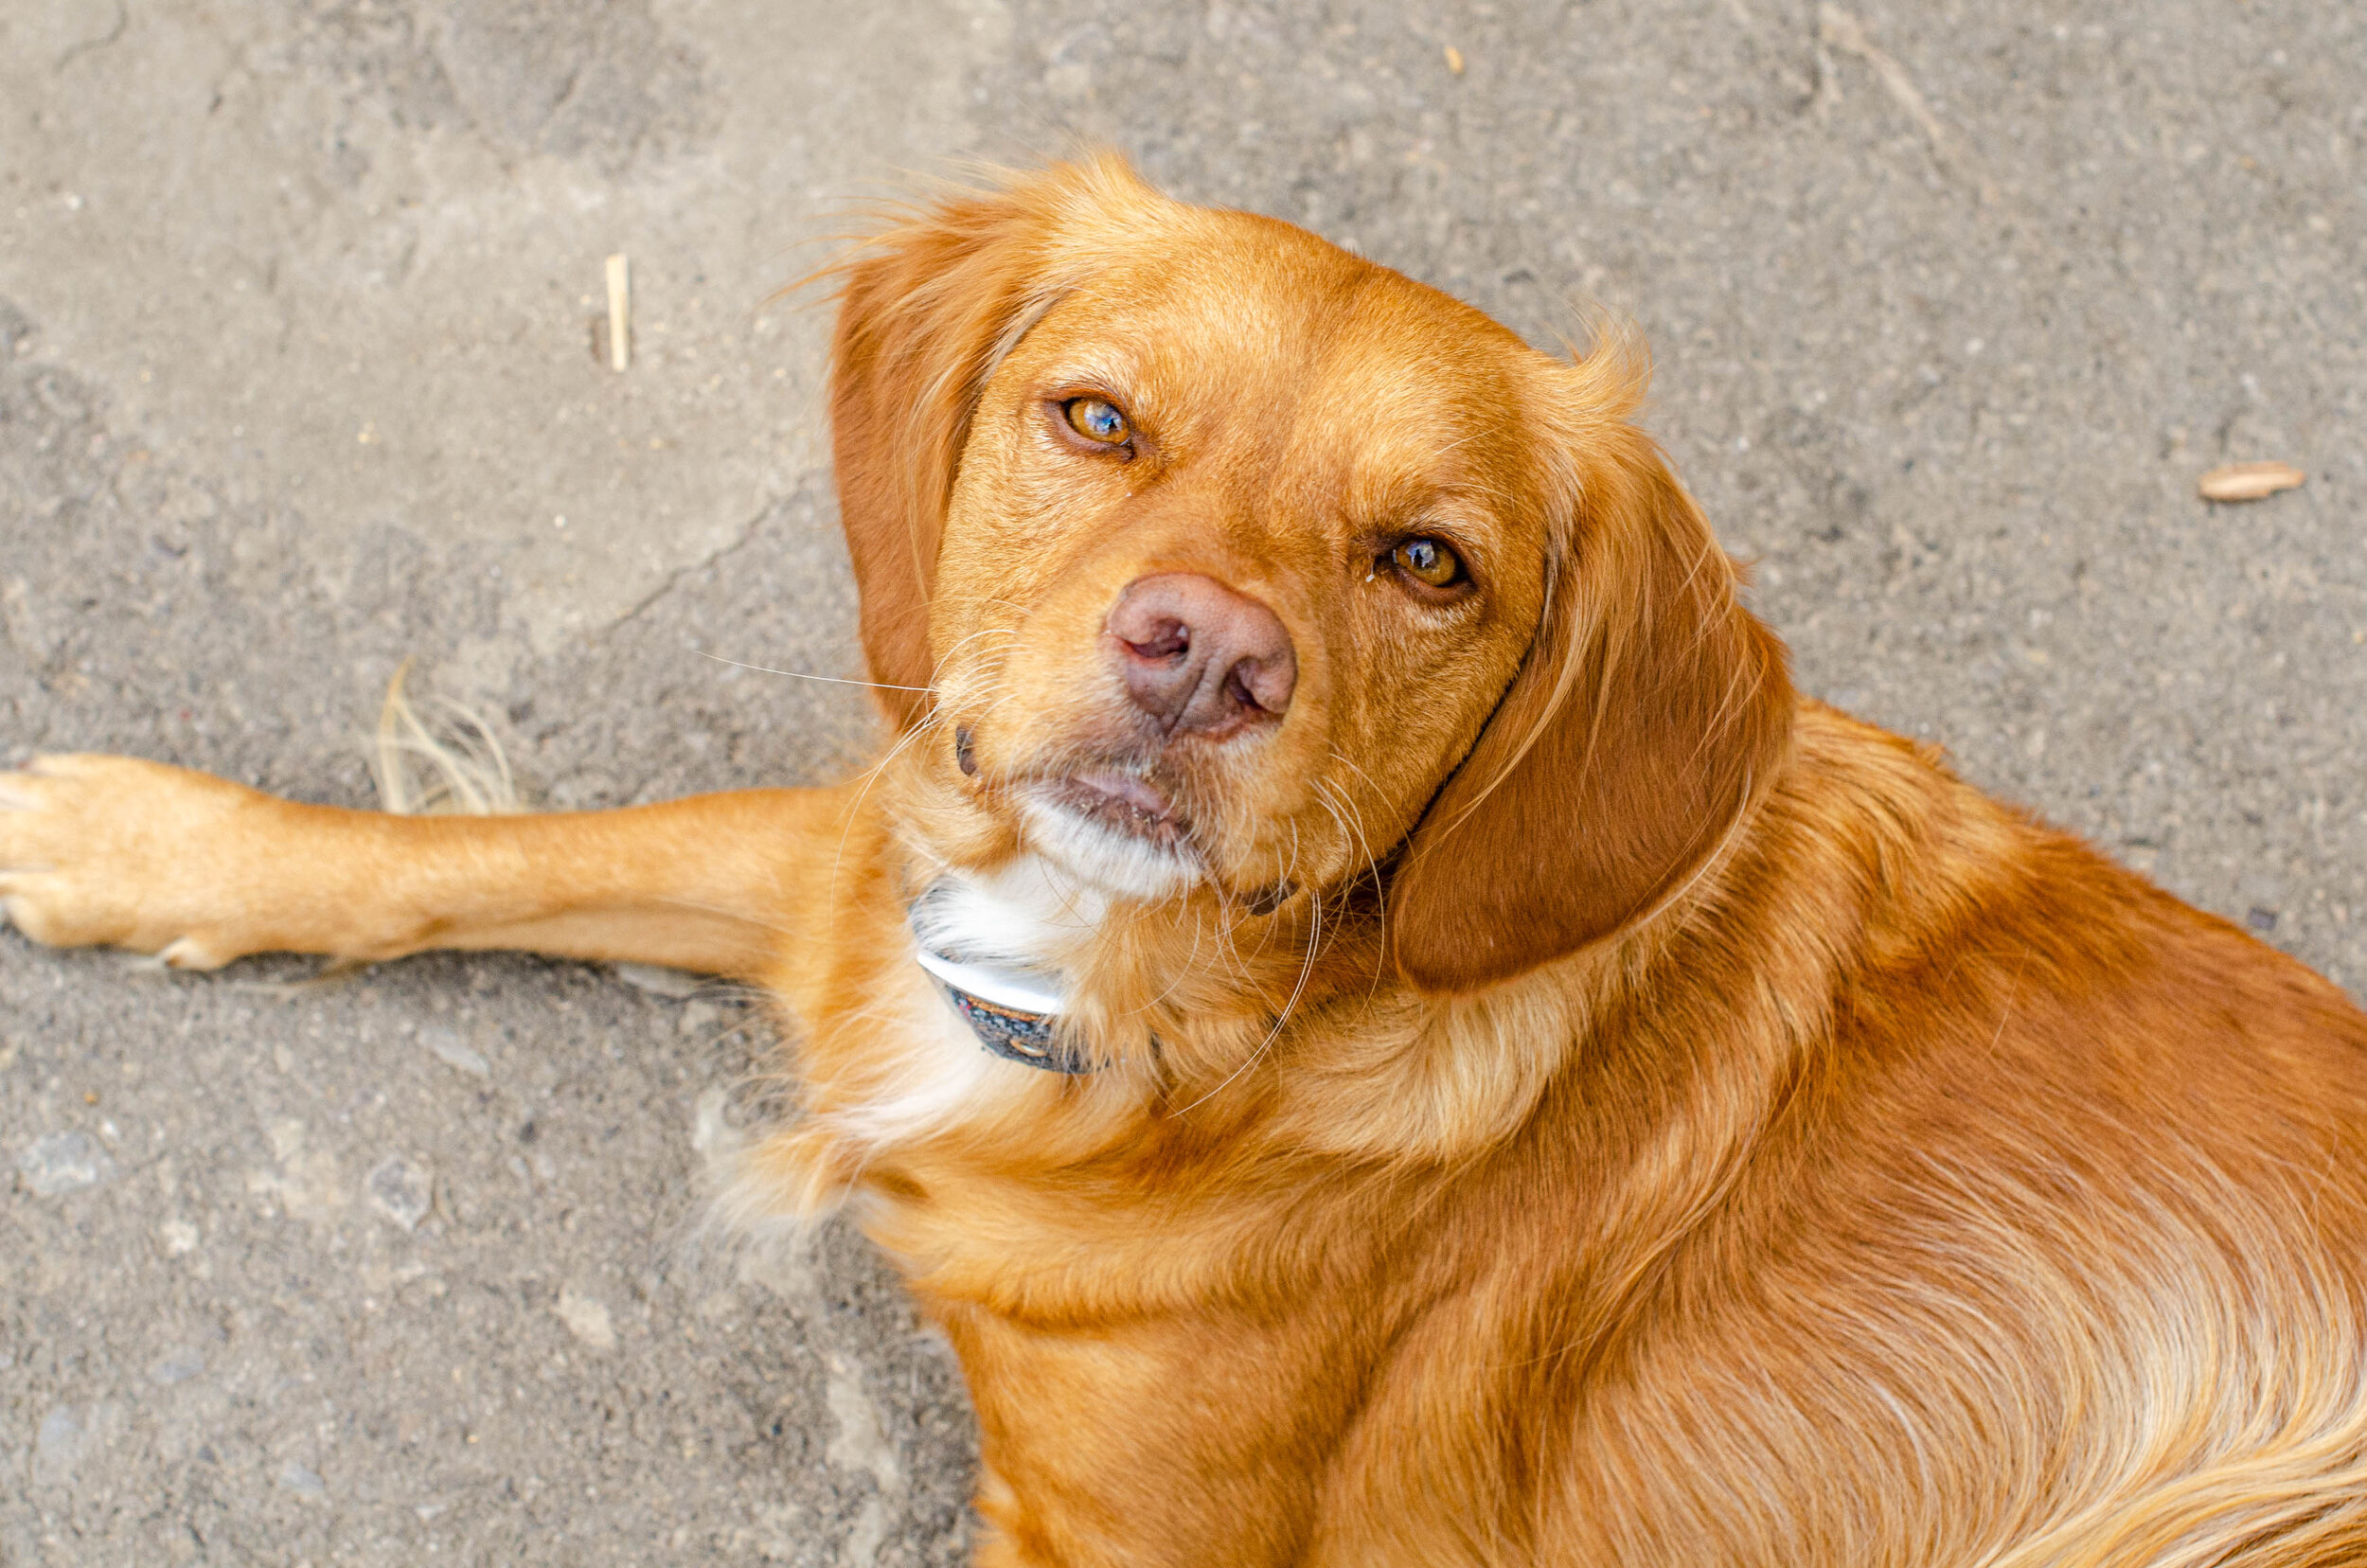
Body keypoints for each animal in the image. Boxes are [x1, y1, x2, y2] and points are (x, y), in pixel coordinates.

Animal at [4, 156, 2367, 1562]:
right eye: (1096, 419)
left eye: (1425, 563)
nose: (1209, 655)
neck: (1134, 1014)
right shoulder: (869, 874)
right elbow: (476, 847)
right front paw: (137, 839)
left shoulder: (1116, 1543)